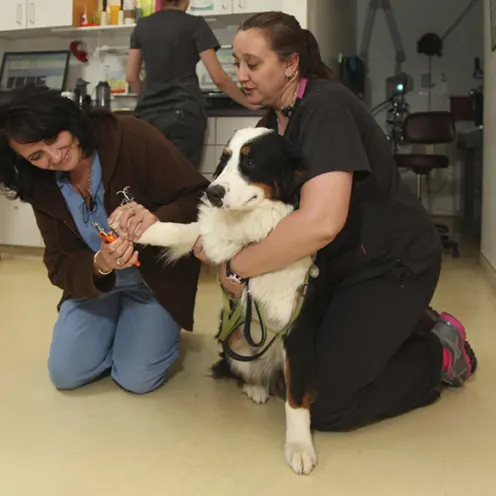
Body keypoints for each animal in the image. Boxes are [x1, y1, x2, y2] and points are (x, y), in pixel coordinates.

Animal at [111, 127, 322, 472]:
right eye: (224, 160)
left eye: (250, 161)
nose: (212, 192)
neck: (247, 227)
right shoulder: (209, 238)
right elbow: (178, 230)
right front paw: (137, 227)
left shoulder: (297, 323)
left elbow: (296, 397)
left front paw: (300, 447)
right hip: (234, 339)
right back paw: (256, 388)